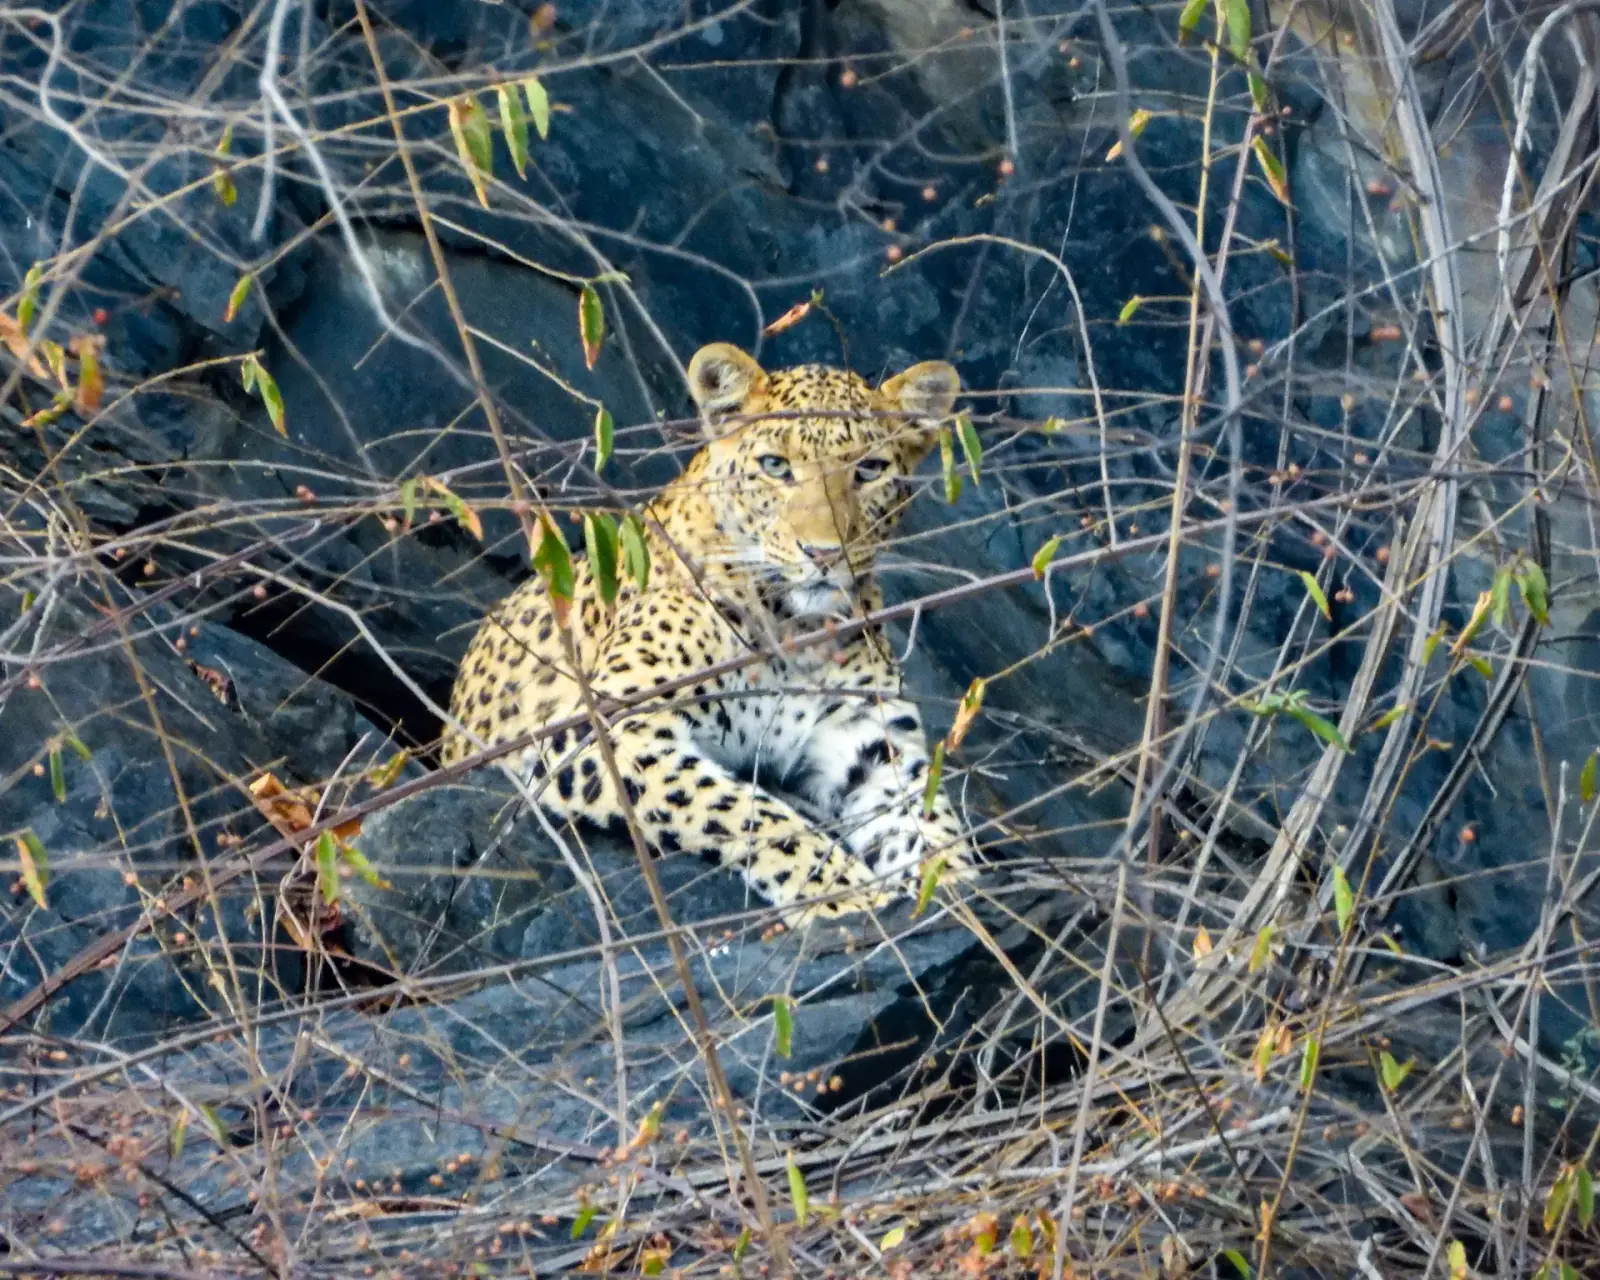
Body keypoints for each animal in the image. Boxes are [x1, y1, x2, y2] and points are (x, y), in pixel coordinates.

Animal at [440, 342, 978, 922]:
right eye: (775, 466)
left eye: (870, 469)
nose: (823, 553)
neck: (792, 629)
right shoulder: (598, 733)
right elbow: (740, 809)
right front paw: (845, 893)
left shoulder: (871, 745)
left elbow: (931, 825)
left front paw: (964, 891)